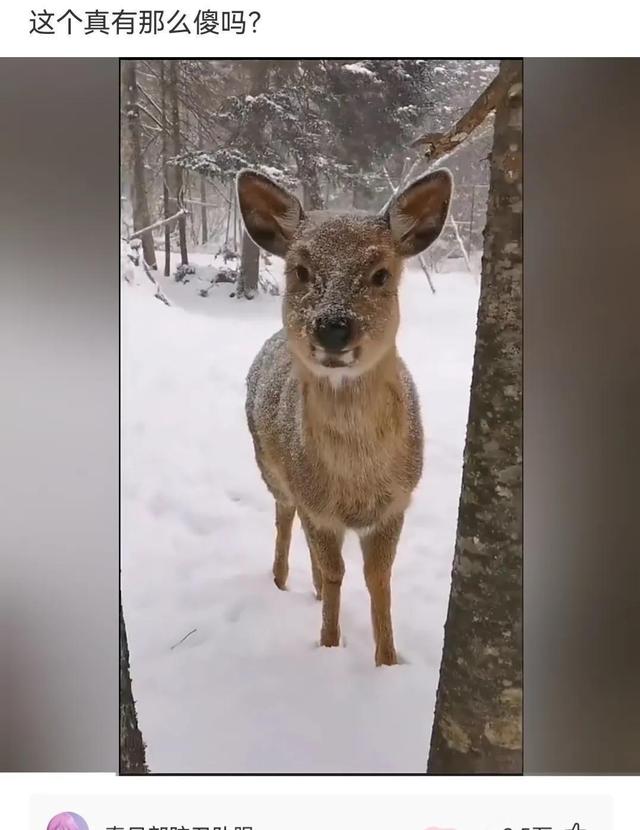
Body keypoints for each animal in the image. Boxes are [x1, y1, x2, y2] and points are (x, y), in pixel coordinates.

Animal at [238, 166, 452, 668]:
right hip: (270, 468)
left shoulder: (396, 503)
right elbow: (336, 572)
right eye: (300, 270)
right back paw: (279, 580)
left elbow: (378, 580)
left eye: (380, 273)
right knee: (284, 518)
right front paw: (330, 645)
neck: (356, 482)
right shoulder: (317, 504)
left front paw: (387, 661)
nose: (333, 327)